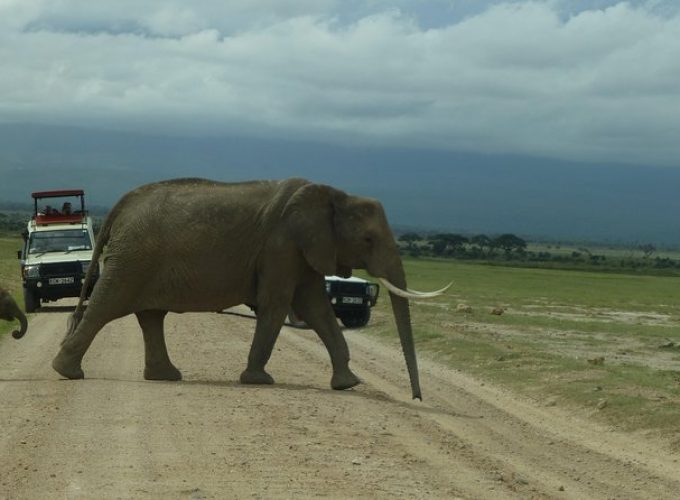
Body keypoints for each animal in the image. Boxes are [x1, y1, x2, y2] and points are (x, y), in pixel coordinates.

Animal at [50, 178, 448, 400]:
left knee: (150, 316)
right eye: (367, 239)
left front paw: (348, 384)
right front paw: (259, 381)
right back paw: (67, 372)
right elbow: (278, 305)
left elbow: (317, 309)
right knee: (106, 306)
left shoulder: (304, 251)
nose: (417, 398)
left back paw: (165, 376)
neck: (335, 196)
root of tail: (122, 204)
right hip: (133, 258)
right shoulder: (282, 245)